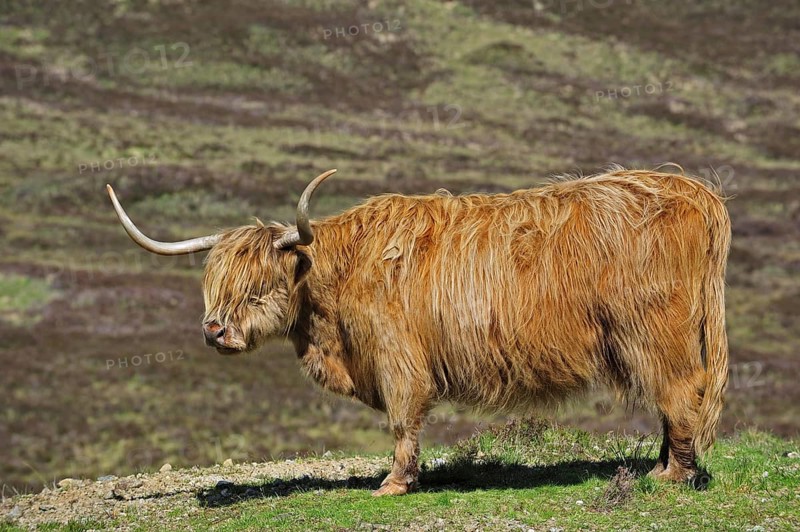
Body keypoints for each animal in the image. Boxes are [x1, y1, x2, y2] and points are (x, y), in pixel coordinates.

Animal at [106, 166, 730, 495]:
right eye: (215, 283)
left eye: (260, 284)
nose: (215, 332)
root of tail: (690, 189)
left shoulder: (396, 356)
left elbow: (404, 420)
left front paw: (394, 483)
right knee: (672, 400)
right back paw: (659, 465)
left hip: (655, 333)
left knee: (682, 392)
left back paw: (672, 474)